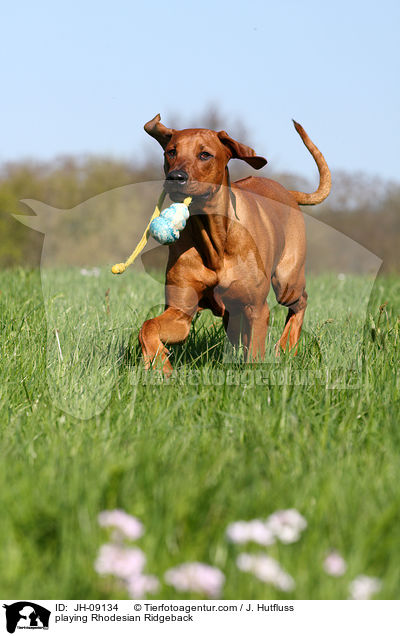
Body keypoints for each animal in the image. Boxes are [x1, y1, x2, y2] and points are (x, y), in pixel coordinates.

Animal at [139, 114, 330, 372]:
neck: (214, 238)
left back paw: (287, 346)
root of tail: (288, 192)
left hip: (286, 281)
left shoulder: (257, 309)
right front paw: (160, 365)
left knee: (300, 302)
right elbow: (148, 327)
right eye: (171, 152)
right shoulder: (181, 311)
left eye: (205, 155)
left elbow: (255, 356)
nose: (175, 177)